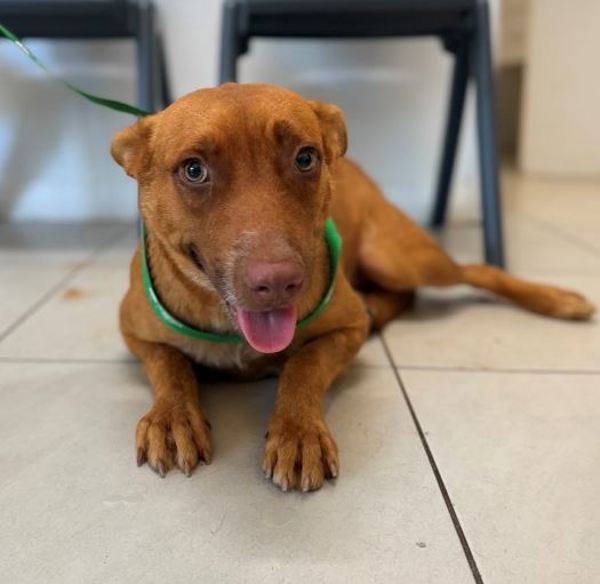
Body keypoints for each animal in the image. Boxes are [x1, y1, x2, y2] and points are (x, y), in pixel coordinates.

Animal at [111, 83, 595, 492]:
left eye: (305, 158)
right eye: (194, 169)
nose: (280, 282)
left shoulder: (346, 330)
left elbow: (303, 365)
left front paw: (298, 429)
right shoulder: (134, 333)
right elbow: (169, 363)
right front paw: (173, 415)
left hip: (397, 257)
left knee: (475, 271)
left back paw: (559, 299)